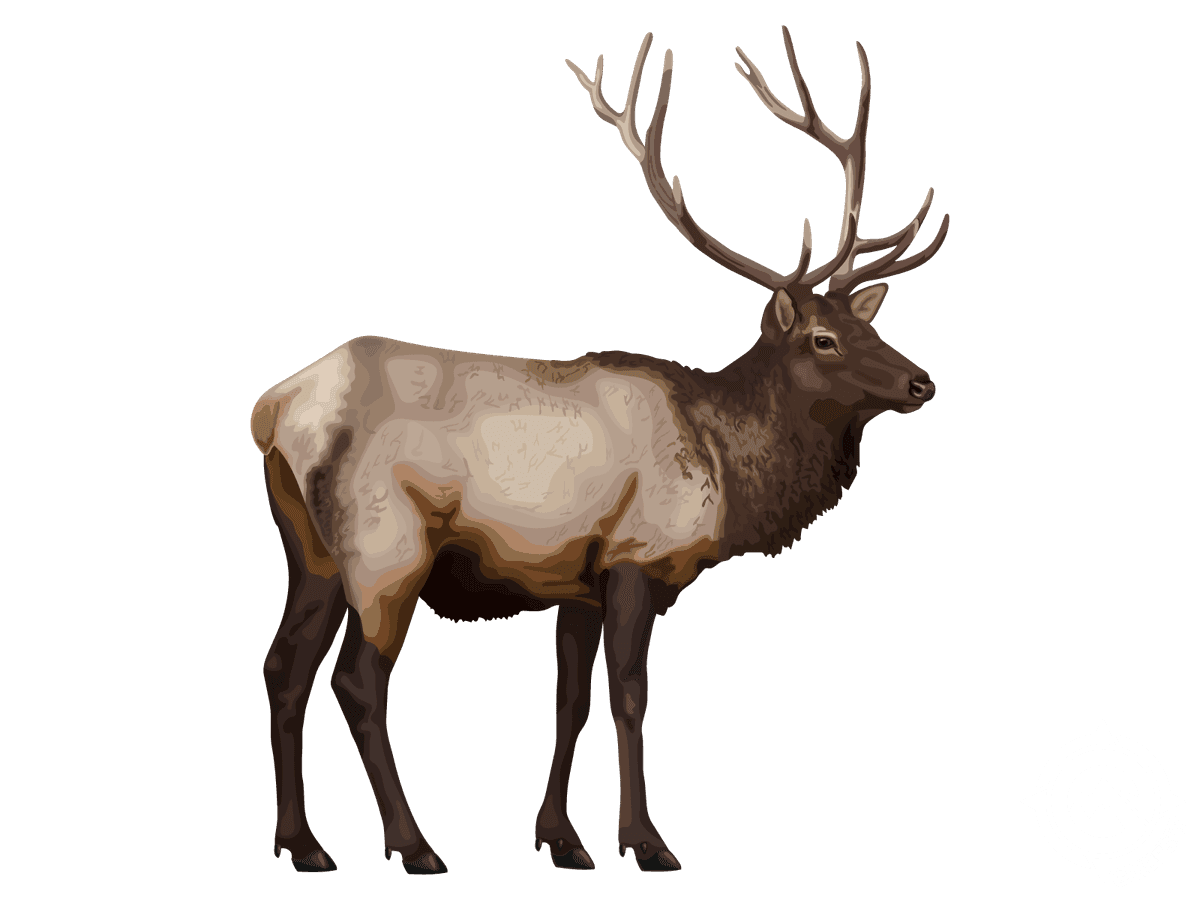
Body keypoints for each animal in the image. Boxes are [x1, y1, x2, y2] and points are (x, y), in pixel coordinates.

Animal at [251, 26, 948, 875]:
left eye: (868, 325)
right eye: (822, 338)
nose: (921, 381)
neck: (726, 465)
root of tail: (273, 408)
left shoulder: (574, 579)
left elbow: (570, 703)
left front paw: (562, 838)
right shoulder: (637, 557)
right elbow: (629, 696)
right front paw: (646, 841)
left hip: (309, 548)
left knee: (282, 669)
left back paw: (302, 843)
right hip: (385, 544)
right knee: (357, 680)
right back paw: (413, 844)